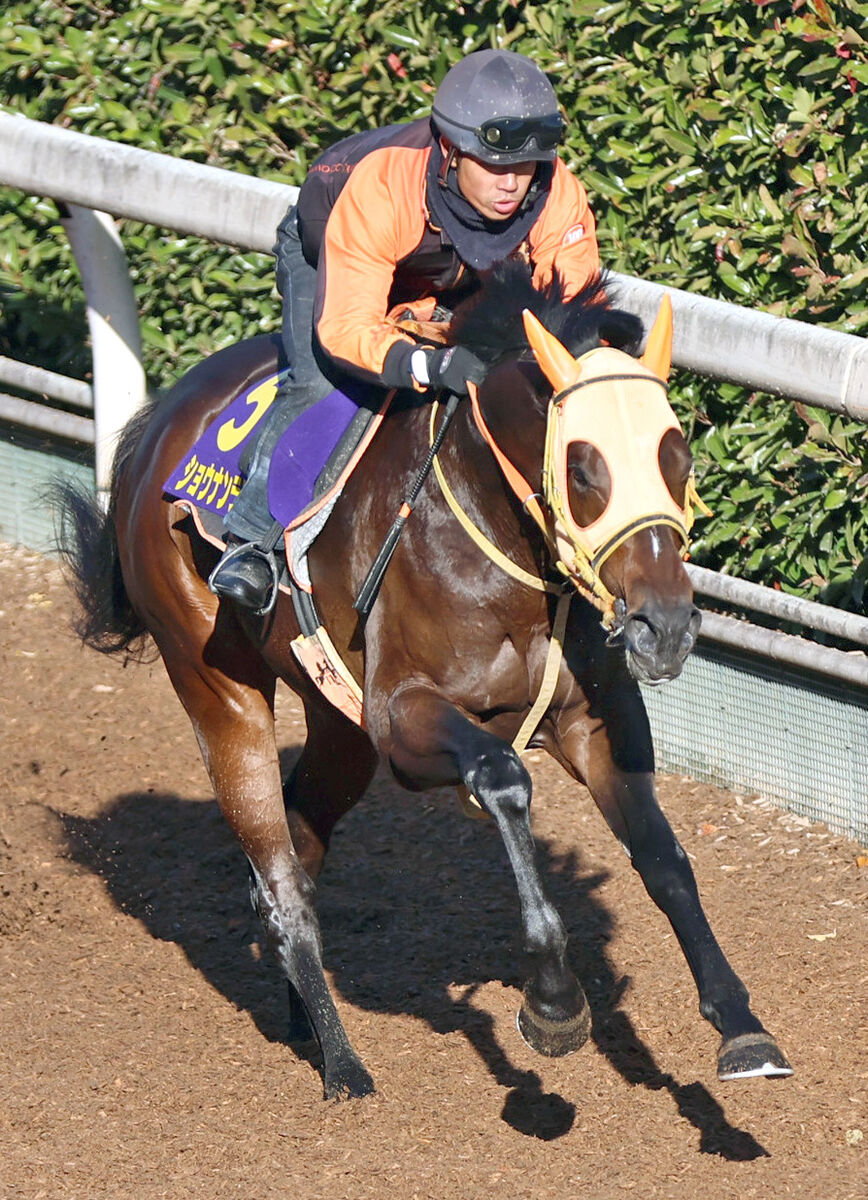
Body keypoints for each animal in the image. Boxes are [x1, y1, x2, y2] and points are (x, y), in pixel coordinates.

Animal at [51, 262, 792, 1099]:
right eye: (582, 466)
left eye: (678, 456)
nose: (664, 626)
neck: (501, 546)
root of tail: (157, 425)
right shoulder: (406, 717)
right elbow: (502, 778)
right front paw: (554, 1001)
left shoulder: (595, 721)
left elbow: (665, 860)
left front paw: (741, 1025)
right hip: (218, 686)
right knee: (279, 881)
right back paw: (344, 1065)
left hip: (339, 726)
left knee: (299, 850)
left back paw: (306, 1020)